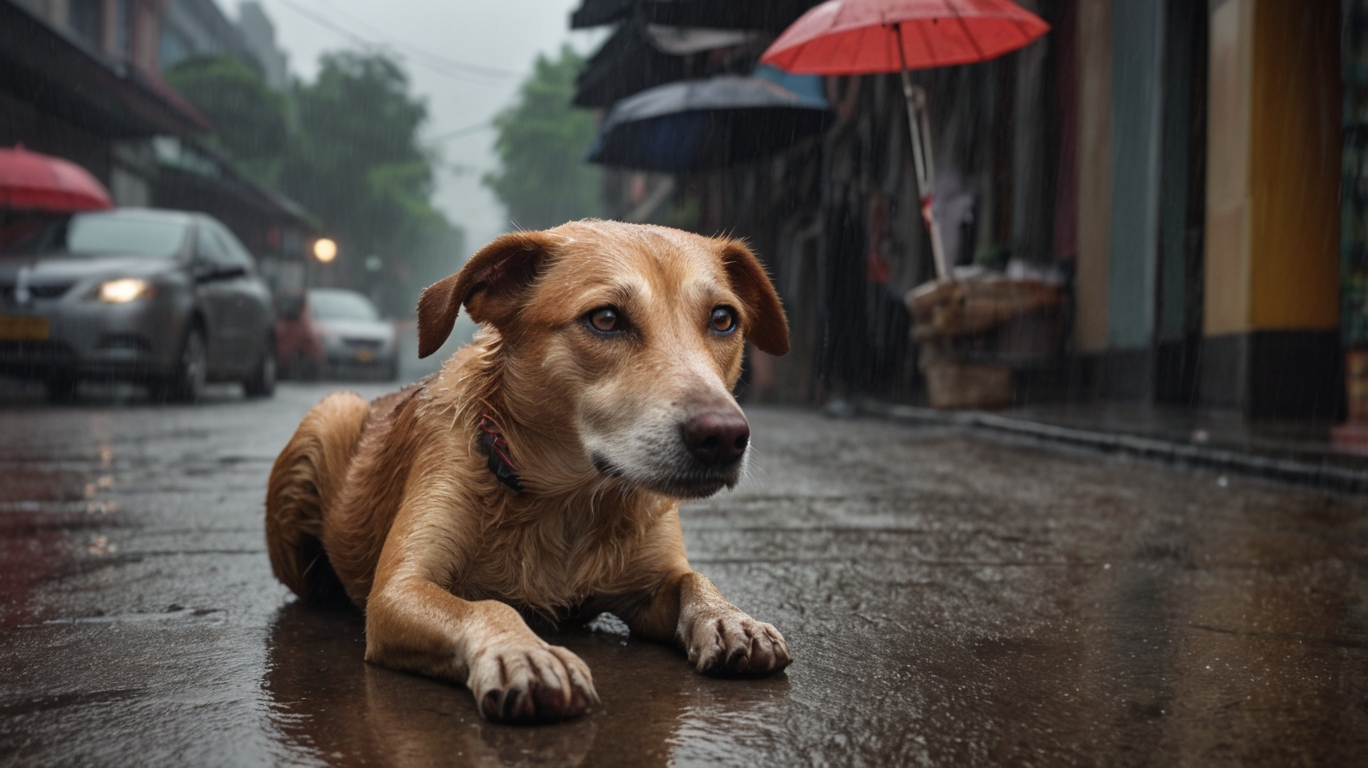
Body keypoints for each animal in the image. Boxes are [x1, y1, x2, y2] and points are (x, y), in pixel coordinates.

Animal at [264, 219, 793, 722]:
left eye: (723, 319)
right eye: (605, 318)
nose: (724, 437)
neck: (566, 504)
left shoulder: (651, 587)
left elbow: (693, 579)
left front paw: (729, 617)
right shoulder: (399, 591)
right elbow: (486, 606)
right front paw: (524, 652)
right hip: (330, 413)